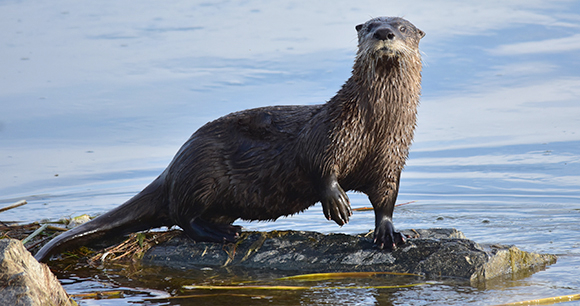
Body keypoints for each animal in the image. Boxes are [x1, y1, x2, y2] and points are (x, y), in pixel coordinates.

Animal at [36, 16, 426, 262]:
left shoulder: (391, 157)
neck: (375, 126)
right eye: (370, 26)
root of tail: (173, 167)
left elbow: (386, 197)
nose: (384, 33)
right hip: (203, 174)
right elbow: (317, 164)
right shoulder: (331, 131)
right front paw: (338, 202)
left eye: (402, 27)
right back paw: (222, 233)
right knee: (183, 217)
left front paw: (388, 233)